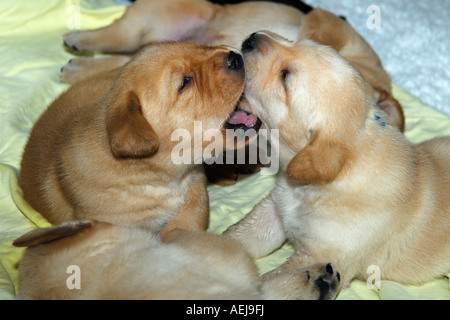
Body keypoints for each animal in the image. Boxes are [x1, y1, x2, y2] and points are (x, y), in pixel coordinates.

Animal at [229, 32, 450, 292]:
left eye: (285, 77)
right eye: (294, 41)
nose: (251, 38)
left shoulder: (321, 256)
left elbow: (278, 279)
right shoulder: (274, 209)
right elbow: (240, 235)